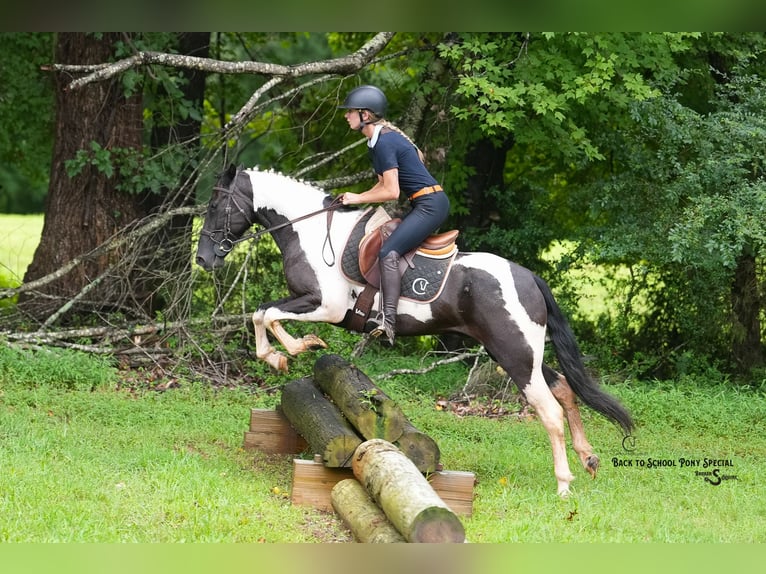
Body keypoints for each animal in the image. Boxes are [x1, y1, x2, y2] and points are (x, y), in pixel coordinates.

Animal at [195, 164, 634, 496]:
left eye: (216, 205)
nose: (203, 259)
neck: (311, 232)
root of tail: (529, 277)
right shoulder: (310, 302)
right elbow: (263, 314)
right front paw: (290, 352)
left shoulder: (325, 305)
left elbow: (264, 314)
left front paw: (291, 351)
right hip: (519, 352)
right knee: (564, 390)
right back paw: (589, 458)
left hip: (515, 354)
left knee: (550, 410)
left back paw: (564, 484)